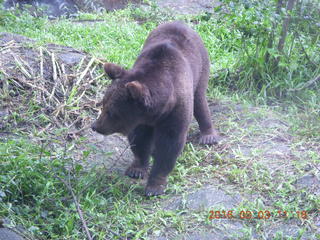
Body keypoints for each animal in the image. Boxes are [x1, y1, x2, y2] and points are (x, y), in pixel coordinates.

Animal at [90, 20, 220, 196]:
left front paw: (154, 186)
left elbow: (169, 144)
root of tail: (180, 22)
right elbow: (139, 139)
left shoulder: (176, 109)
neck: (158, 111)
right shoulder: (141, 119)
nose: (95, 126)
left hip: (201, 67)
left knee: (200, 101)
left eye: (112, 112)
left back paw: (208, 136)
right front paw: (137, 169)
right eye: (103, 103)